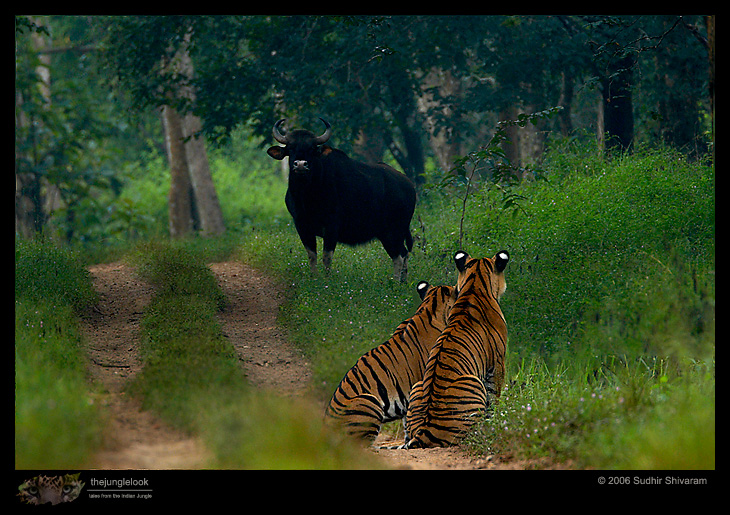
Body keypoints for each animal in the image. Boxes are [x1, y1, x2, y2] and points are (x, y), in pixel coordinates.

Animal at [404, 250, 510, 448]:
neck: (474, 285)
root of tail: (423, 431)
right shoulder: (498, 363)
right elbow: (494, 397)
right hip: (473, 381)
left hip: (417, 385)